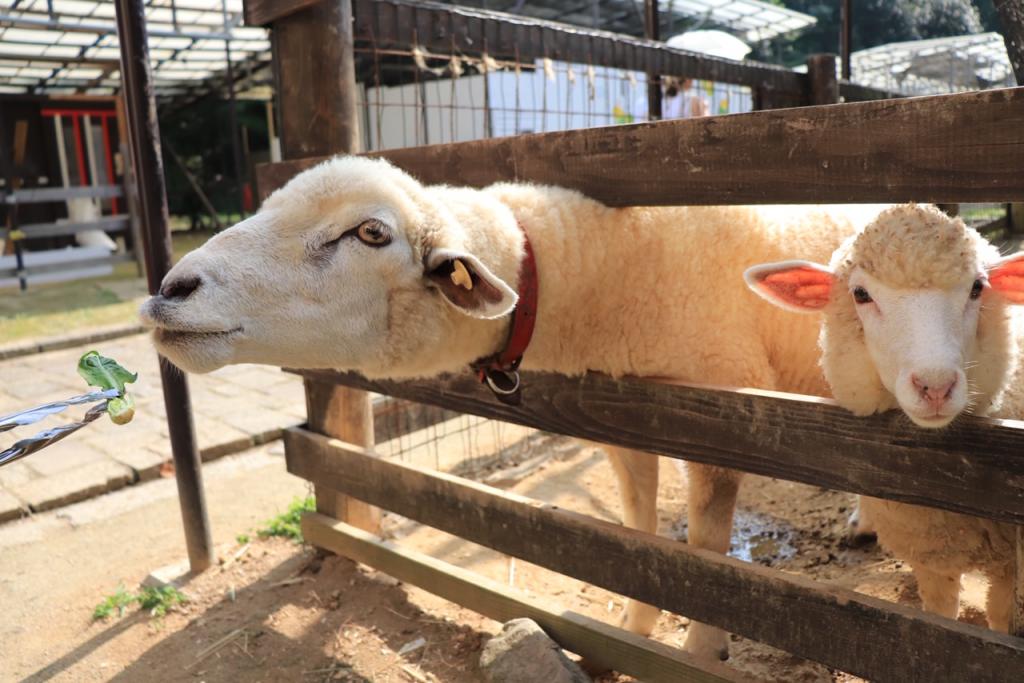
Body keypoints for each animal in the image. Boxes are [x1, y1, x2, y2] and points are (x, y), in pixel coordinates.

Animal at [140, 156, 884, 663]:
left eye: (371, 233)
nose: (171, 289)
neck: (584, 273)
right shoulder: (629, 418)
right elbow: (640, 535)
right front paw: (634, 631)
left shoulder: (723, 415)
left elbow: (705, 558)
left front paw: (700, 652)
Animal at [745, 204, 1024, 634]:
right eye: (860, 294)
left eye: (978, 288)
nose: (935, 386)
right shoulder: (933, 558)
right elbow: (941, 618)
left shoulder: (1010, 568)